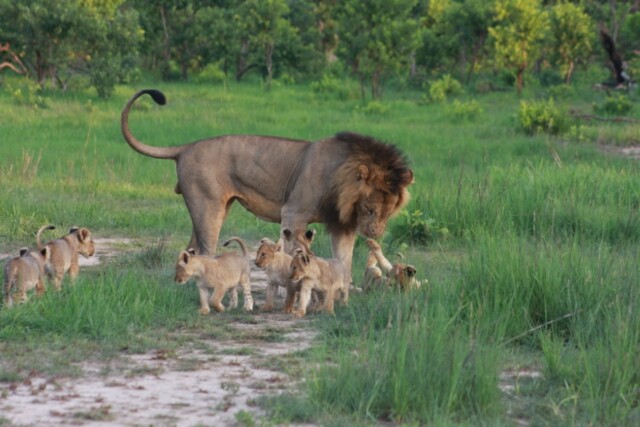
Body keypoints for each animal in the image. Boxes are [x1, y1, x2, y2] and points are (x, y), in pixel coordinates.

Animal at [122, 88, 412, 300]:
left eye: (389, 213)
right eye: (370, 209)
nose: (376, 232)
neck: (341, 179)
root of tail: (186, 147)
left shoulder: (343, 225)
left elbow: (344, 260)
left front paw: (343, 291)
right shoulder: (293, 212)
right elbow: (296, 252)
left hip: (215, 207)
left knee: (190, 249)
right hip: (208, 208)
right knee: (205, 248)